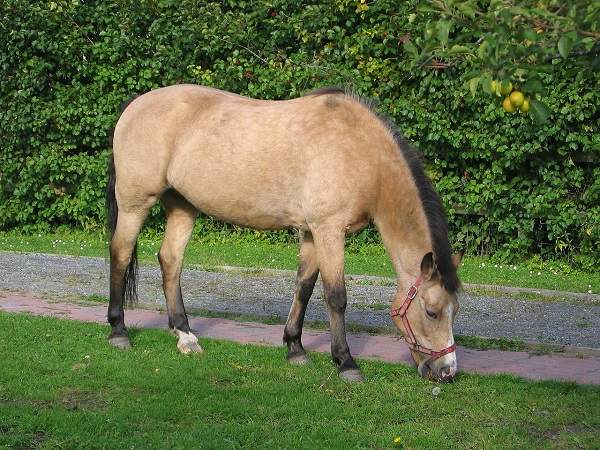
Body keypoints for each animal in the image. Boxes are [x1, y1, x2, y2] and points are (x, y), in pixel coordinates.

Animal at [106, 85, 464, 384]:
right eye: (431, 312)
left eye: (455, 311)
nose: (447, 372)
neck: (361, 153)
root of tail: (133, 106)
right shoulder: (329, 230)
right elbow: (336, 296)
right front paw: (346, 362)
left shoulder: (312, 233)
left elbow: (304, 287)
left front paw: (295, 348)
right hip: (135, 204)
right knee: (120, 254)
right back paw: (118, 332)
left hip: (183, 207)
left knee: (171, 260)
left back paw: (185, 336)